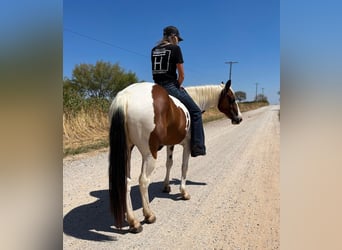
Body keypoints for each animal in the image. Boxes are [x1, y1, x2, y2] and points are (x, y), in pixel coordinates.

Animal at [108, 79, 242, 232]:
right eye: (232, 99)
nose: (239, 118)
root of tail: (125, 96)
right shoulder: (187, 145)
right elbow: (184, 166)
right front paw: (183, 192)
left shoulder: (170, 144)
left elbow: (169, 163)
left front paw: (166, 186)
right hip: (149, 154)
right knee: (143, 181)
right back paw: (148, 215)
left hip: (127, 151)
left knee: (126, 182)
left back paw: (133, 221)